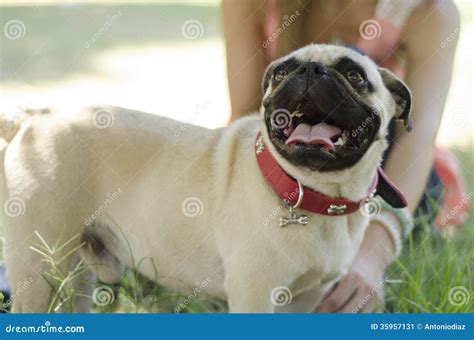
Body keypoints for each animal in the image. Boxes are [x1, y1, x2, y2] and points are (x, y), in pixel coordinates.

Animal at [0, 43, 410, 314]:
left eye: (355, 76)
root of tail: (33, 117)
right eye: (280, 72)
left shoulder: (304, 300)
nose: (309, 71)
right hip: (39, 270)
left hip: (75, 274)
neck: (313, 192)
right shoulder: (254, 295)